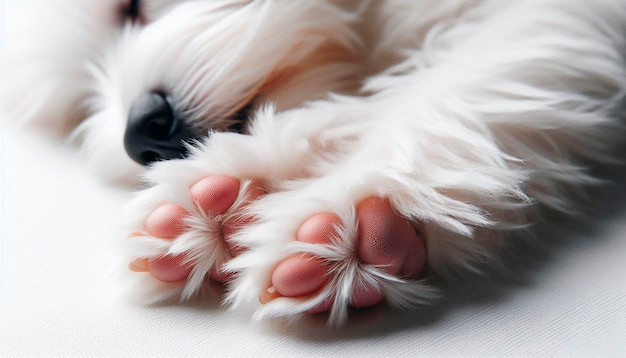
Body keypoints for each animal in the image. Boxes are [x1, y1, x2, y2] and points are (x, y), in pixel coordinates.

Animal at [1, 0, 624, 324]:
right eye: (80, 107)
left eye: (131, 7)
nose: (142, 137)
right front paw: (229, 201)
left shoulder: (550, 17)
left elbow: (452, 82)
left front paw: (363, 205)